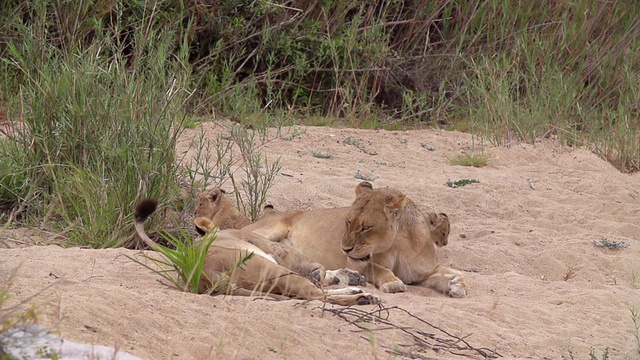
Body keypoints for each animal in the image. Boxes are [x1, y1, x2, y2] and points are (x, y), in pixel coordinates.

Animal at [135, 198, 376, 306]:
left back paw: (358, 291)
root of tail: (205, 274)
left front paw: (348, 277)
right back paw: (362, 297)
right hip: (273, 268)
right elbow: (318, 271)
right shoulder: (279, 251)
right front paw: (344, 277)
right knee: (314, 294)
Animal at [198, 181, 468, 296]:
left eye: (366, 227)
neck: (400, 243)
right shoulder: (364, 262)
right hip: (267, 233)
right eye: (348, 221)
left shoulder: (423, 271)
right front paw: (392, 283)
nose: (345, 249)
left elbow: (451, 274)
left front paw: (457, 286)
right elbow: (380, 269)